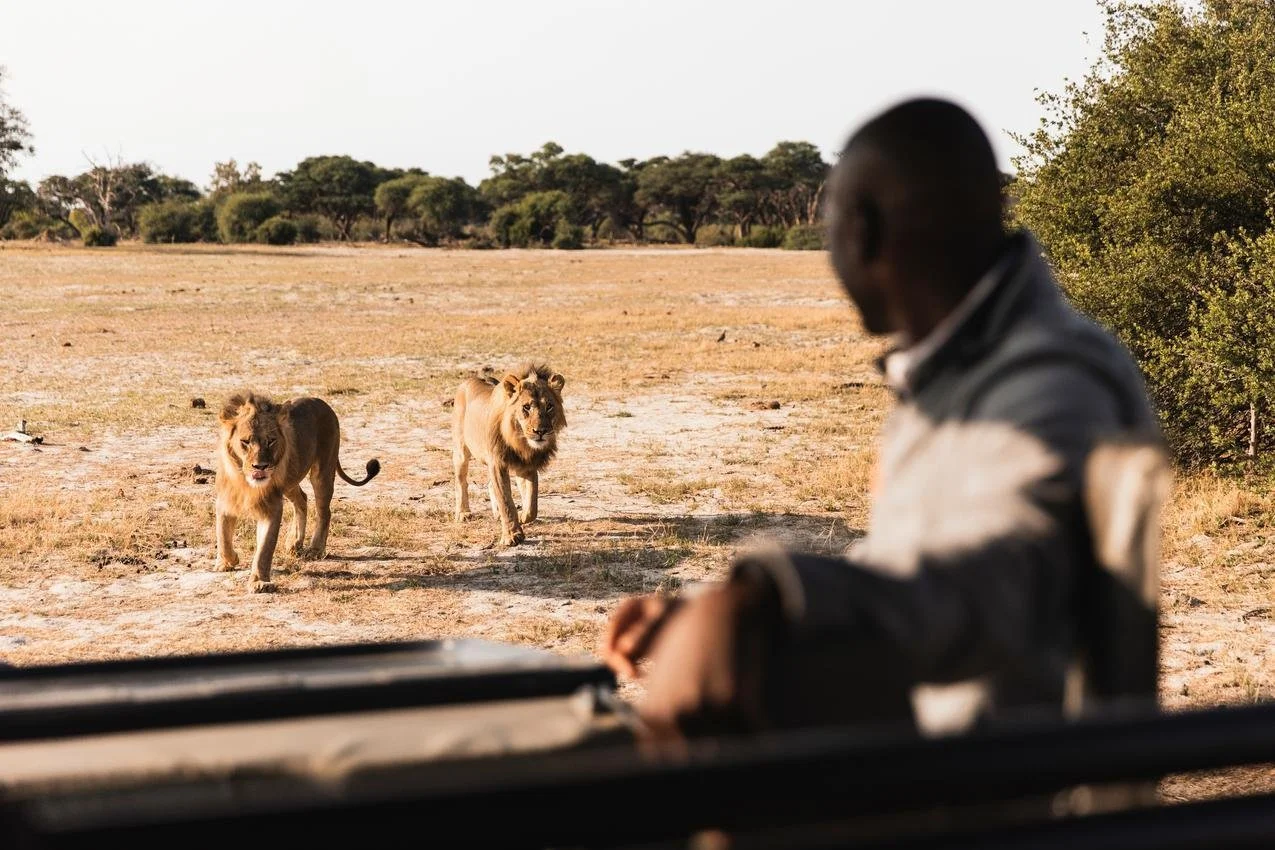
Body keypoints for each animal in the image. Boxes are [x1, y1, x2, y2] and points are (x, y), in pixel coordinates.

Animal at [214, 392, 380, 592]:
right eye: (245, 442)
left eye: (271, 441)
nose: (261, 467)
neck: (245, 481)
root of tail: (321, 402)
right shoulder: (225, 500)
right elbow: (222, 536)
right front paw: (227, 562)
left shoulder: (272, 506)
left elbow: (264, 549)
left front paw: (259, 582)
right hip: (290, 480)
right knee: (302, 499)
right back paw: (295, 542)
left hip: (322, 472)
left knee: (324, 511)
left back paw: (315, 549)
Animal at [452, 364, 566, 546]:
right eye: (526, 407)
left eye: (549, 406)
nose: (540, 431)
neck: (520, 441)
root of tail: (472, 379)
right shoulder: (497, 463)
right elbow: (506, 500)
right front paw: (512, 535)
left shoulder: (527, 466)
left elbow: (532, 504)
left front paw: (522, 517)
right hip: (461, 451)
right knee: (461, 482)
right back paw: (463, 513)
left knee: (490, 485)